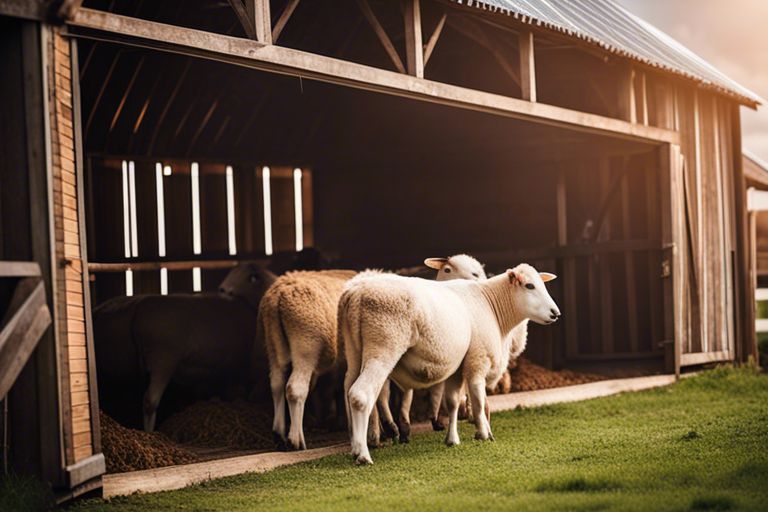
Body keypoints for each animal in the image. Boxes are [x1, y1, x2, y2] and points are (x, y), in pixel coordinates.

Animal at [260, 254, 484, 450]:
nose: (478, 281)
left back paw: (280, 435)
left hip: (275, 346)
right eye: (448, 269)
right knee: (297, 388)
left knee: (278, 384)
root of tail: (279, 293)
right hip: (308, 346)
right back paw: (297, 440)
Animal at [342, 264, 560, 464]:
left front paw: (452, 439)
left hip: (354, 350)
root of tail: (357, 293)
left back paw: (355, 447)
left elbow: (453, 402)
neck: (492, 305)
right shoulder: (477, 360)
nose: (555, 313)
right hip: (384, 342)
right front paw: (484, 433)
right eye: (529, 286)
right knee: (361, 395)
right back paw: (363, 455)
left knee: (348, 390)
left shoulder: (458, 365)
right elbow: (478, 400)